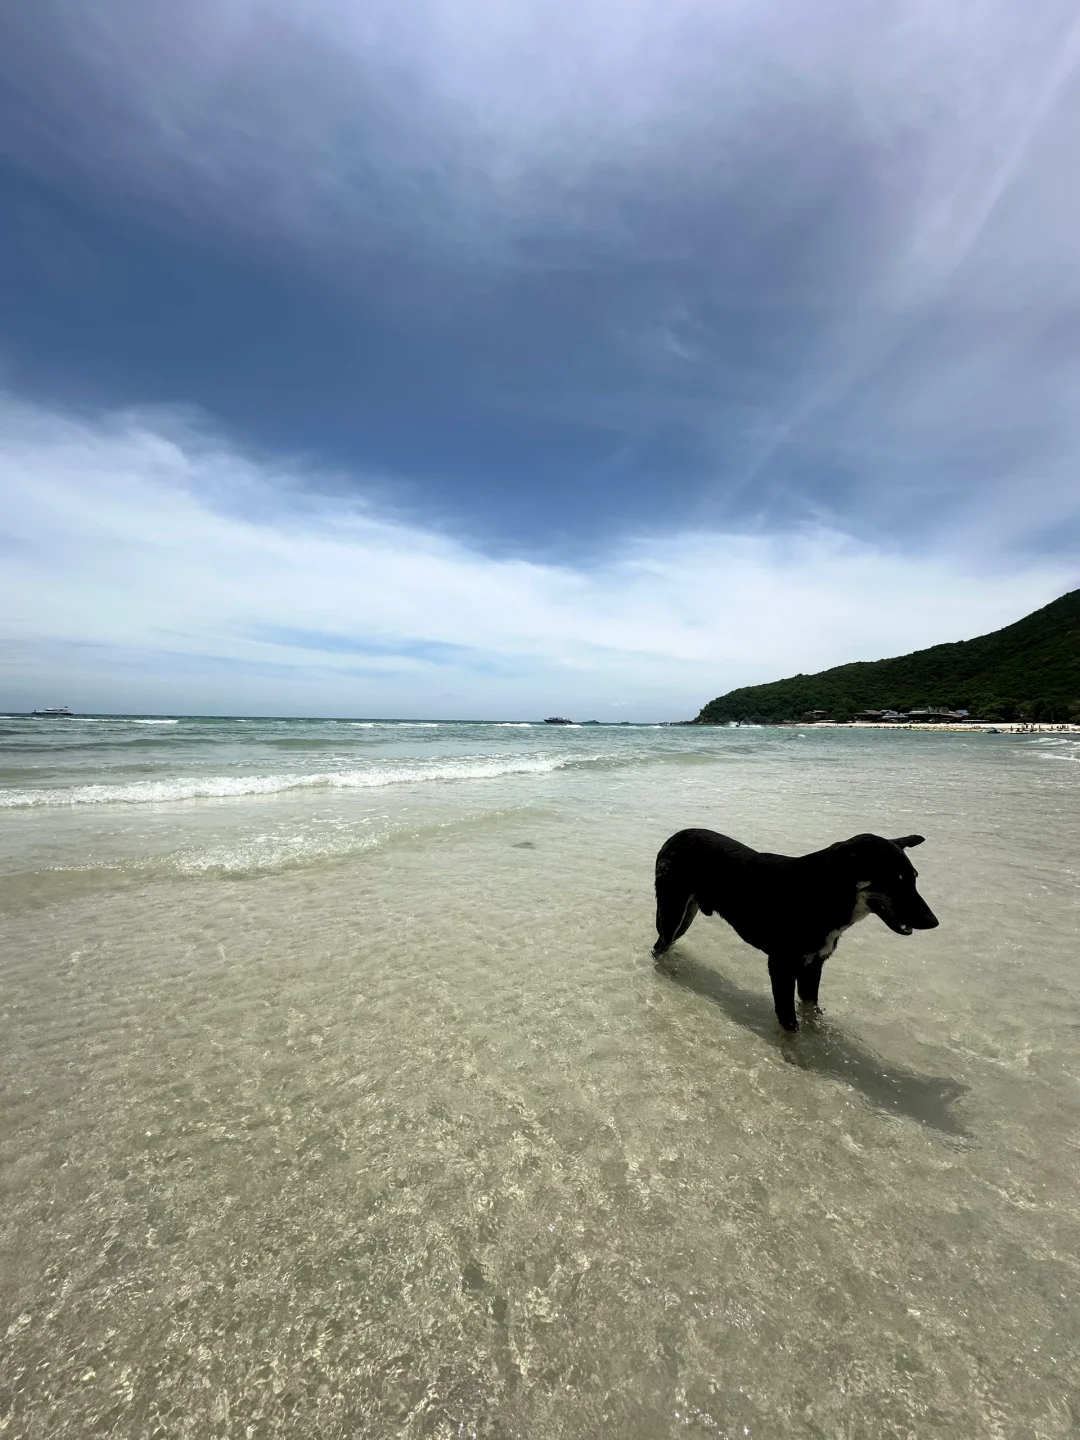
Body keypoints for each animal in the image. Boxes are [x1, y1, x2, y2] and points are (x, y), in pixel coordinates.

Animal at [650, 829, 938, 1031]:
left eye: (914, 878)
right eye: (895, 881)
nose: (933, 921)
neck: (825, 892)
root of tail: (673, 837)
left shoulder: (814, 964)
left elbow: (810, 1010)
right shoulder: (782, 965)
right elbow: (789, 1022)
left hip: (686, 916)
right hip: (673, 912)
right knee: (659, 946)